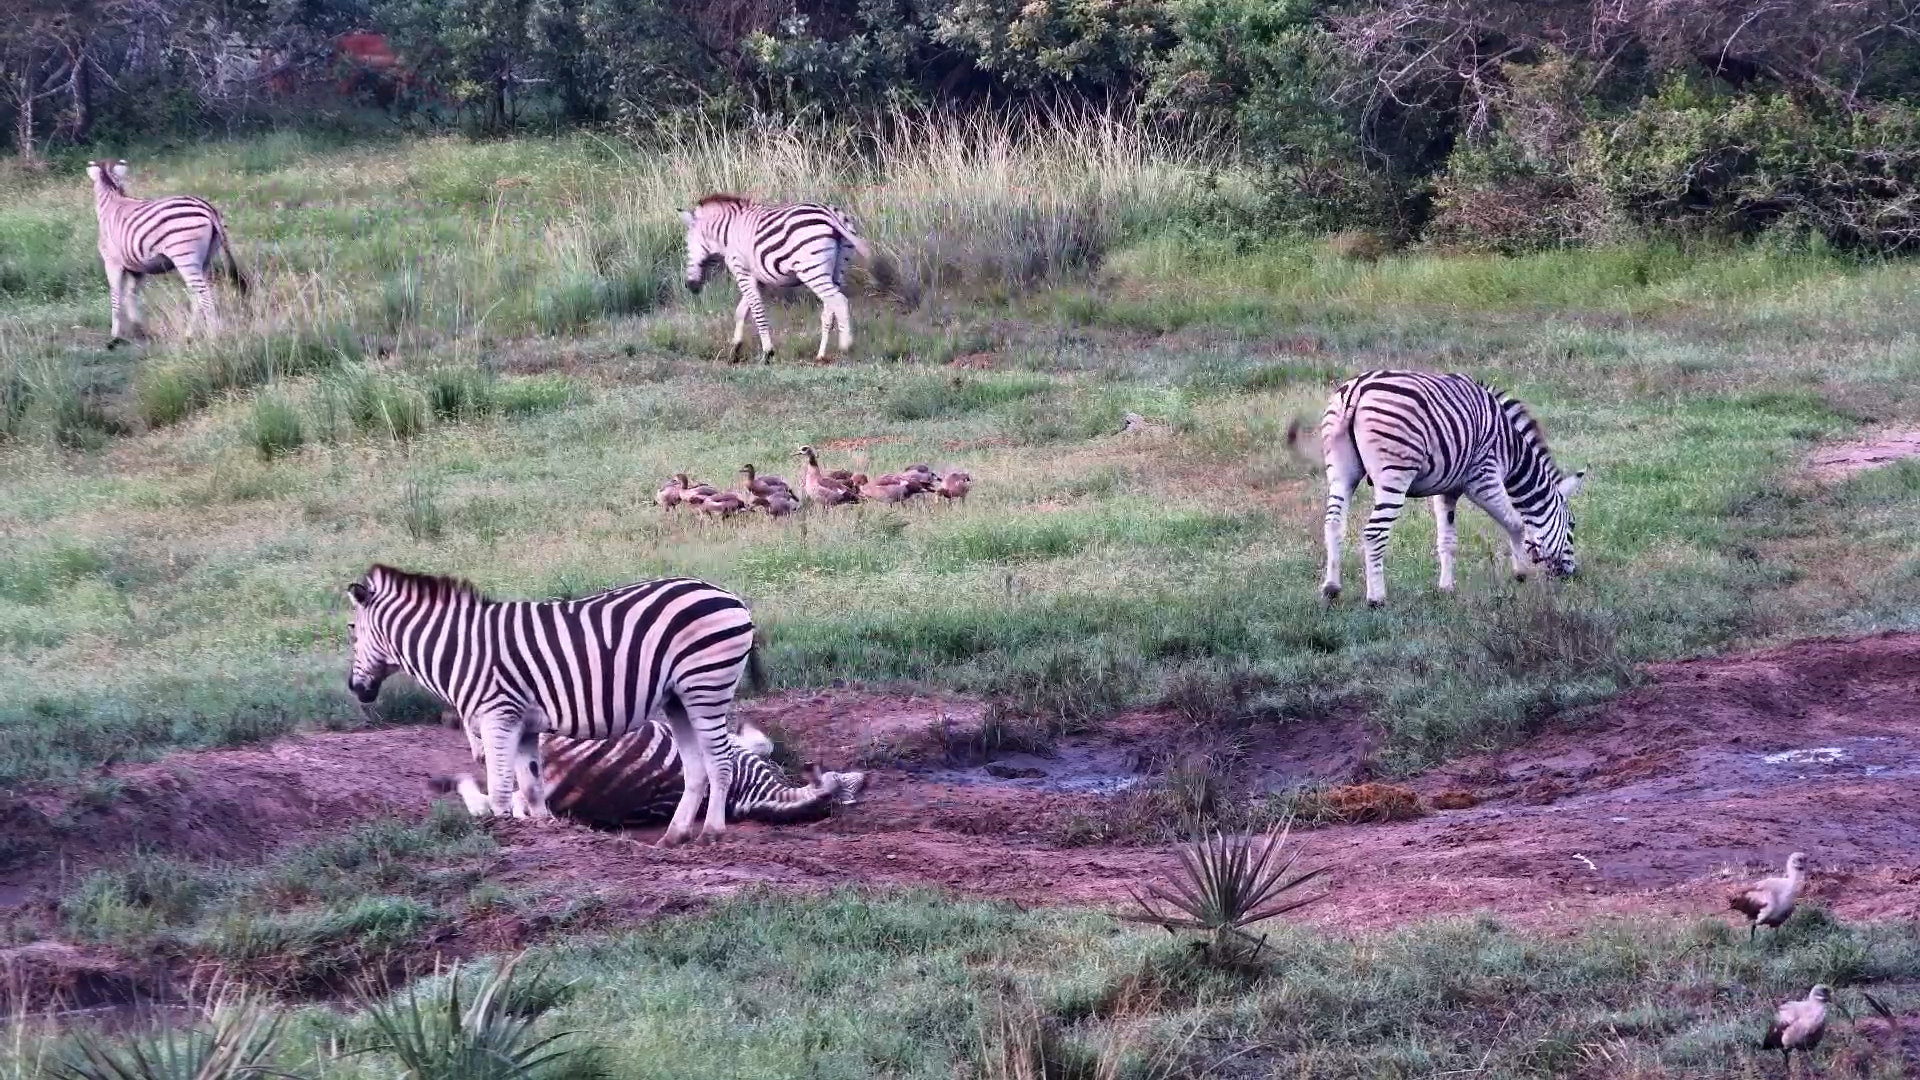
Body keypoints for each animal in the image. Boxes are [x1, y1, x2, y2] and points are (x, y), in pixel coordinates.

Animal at [86, 159, 248, 348]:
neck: (111, 199)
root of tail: (209, 209)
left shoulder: (112, 263)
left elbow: (116, 296)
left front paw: (115, 337)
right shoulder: (136, 268)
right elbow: (131, 294)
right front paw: (139, 330)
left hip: (185, 257)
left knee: (204, 296)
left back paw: (213, 337)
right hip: (204, 259)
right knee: (197, 296)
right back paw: (189, 336)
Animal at [345, 563, 760, 846]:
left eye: (351, 631)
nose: (354, 688)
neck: (461, 649)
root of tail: (730, 597)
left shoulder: (499, 716)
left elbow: (499, 789)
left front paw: (506, 835)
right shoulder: (524, 725)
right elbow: (531, 787)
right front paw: (544, 831)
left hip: (706, 686)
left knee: (720, 762)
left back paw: (711, 833)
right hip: (678, 699)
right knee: (696, 769)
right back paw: (674, 837)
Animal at [681, 194, 871, 363]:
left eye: (687, 247)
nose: (690, 286)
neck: (729, 232)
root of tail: (831, 215)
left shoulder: (742, 272)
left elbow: (757, 311)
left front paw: (767, 353)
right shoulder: (758, 279)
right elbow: (741, 311)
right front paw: (735, 350)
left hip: (811, 270)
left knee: (839, 300)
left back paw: (846, 346)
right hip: (838, 269)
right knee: (829, 309)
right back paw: (821, 355)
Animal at [1287, 371, 1588, 607]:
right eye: (1572, 525)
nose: (1572, 575)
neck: (1511, 449)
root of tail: (1357, 391)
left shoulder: (1448, 490)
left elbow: (1448, 541)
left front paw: (1446, 588)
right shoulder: (1483, 478)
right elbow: (1515, 523)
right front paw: (1521, 573)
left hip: (1340, 472)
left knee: (1333, 524)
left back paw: (1331, 589)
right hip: (1395, 474)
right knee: (1374, 533)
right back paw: (1376, 598)